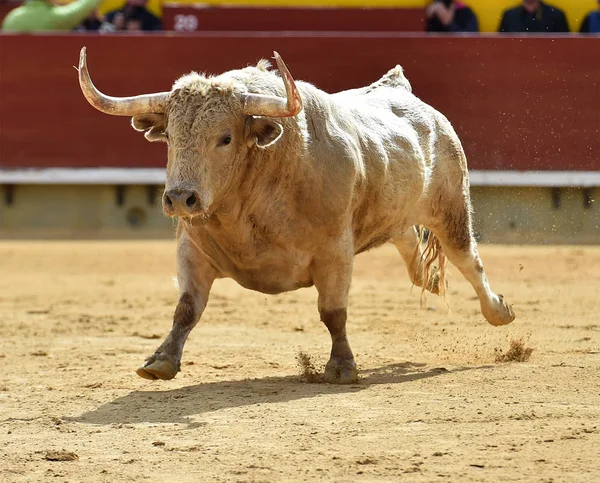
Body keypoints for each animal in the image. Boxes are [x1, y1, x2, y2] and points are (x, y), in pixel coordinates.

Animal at [76, 47, 516, 384]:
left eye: (225, 138)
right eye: (169, 136)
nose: (181, 198)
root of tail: (401, 91)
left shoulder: (335, 252)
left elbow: (333, 312)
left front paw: (341, 369)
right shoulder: (192, 249)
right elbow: (186, 308)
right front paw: (160, 361)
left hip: (451, 206)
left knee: (467, 258)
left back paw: (498, 311)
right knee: (409, 241)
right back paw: (431, 278)